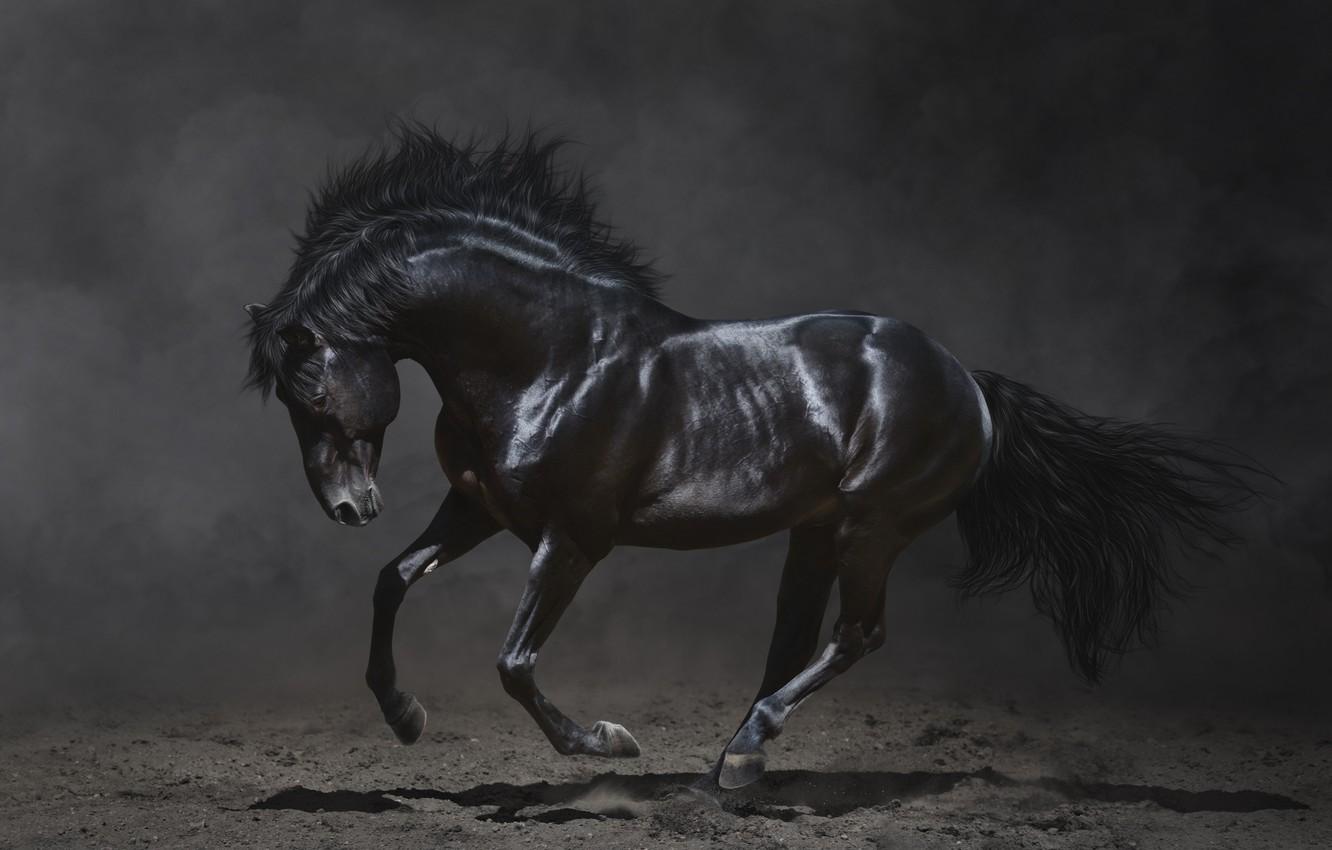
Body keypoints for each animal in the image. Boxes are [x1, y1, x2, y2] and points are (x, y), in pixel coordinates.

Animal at [244, 125, 1260, 791]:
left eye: (312, 392)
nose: (348, 507)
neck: (552, 358)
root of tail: (967, 381)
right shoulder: (480, 509)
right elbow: (392, 580)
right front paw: (405, 717)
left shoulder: (572, 539)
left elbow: (515, 662)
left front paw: (608, 743)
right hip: (816, 531)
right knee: (794, 640)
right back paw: (733, 762)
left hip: (872, 527)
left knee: (857, 635)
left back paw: (741, 754)